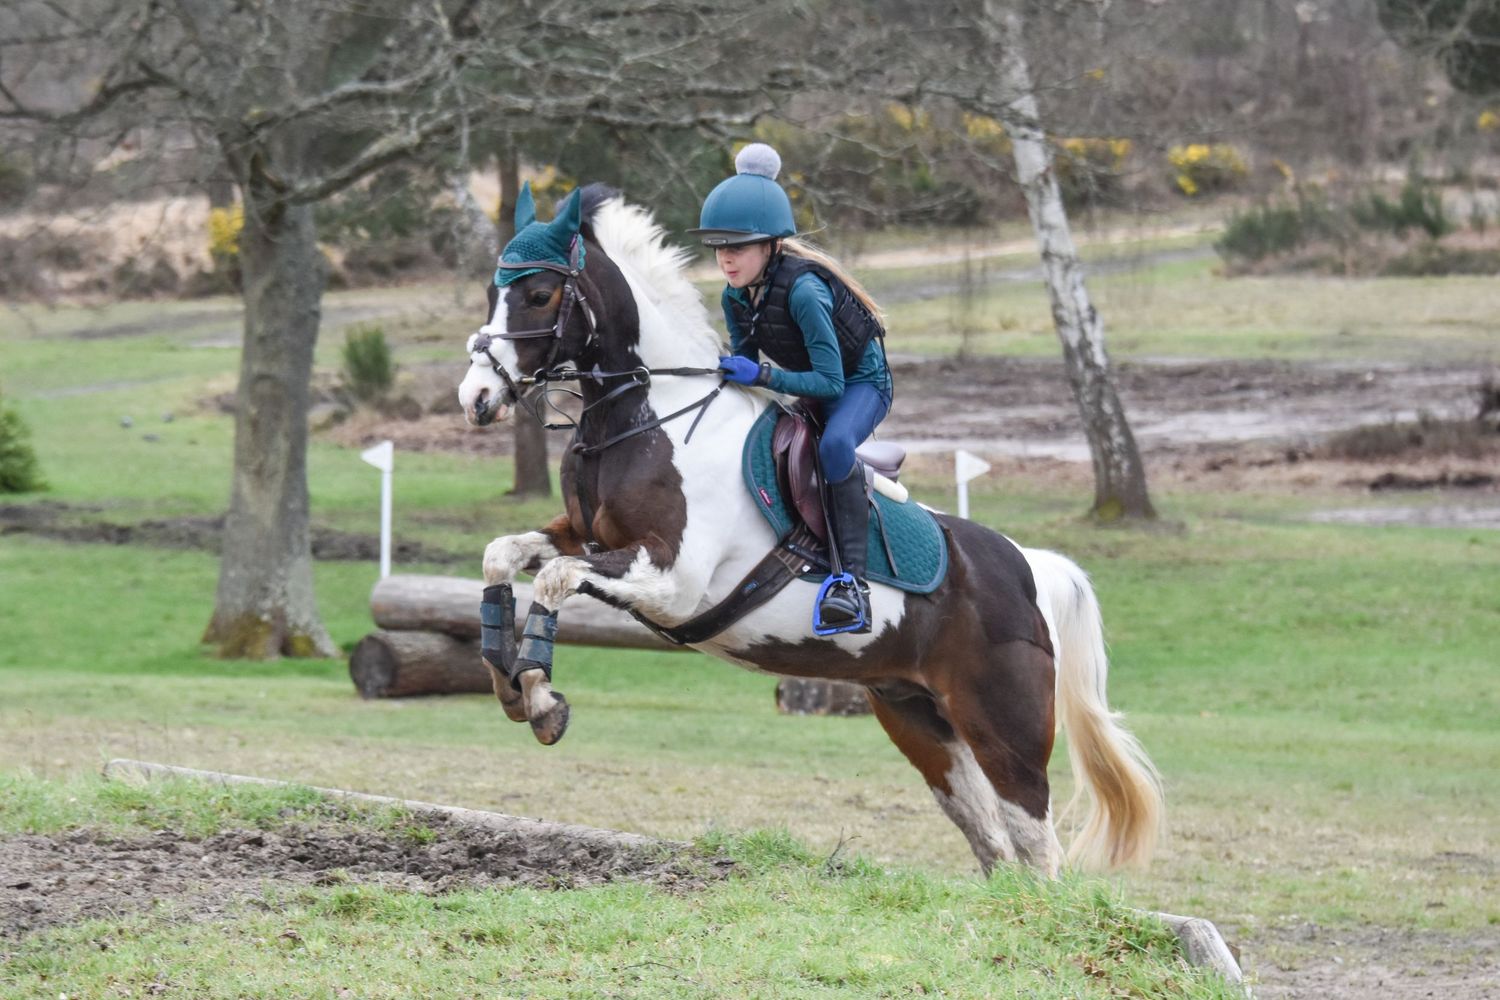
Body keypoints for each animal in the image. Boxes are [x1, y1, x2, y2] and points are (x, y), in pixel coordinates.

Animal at [457, 184, 1163, 876]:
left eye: (539, 295)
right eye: (493, 291)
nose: (476, 399)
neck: (646, 417)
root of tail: (1030, 567)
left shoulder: (672, 580)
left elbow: (554, 579)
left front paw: (542, 702)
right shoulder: (587, 539)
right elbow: (503, 557)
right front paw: (505, 680)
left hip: (1004, 728)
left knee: (1038, 850)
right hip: (918, 719)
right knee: (990, 842)